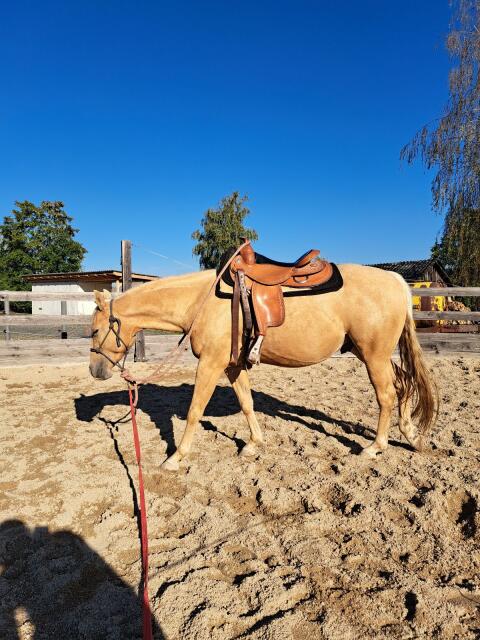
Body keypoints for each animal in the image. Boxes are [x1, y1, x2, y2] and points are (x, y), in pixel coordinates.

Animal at [89, 263, 437, 471]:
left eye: (93, 330)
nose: (95, 371)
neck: (201, 301)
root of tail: (396, 281)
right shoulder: (232, 366)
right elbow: (246, 403)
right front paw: (253, 445)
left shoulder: (211, 364)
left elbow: (194, 410)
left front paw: (175, 458)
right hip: (373, 354)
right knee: (404, 384)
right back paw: (408, 432)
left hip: (373, 356)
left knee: (386, 396)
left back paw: (375, 447)